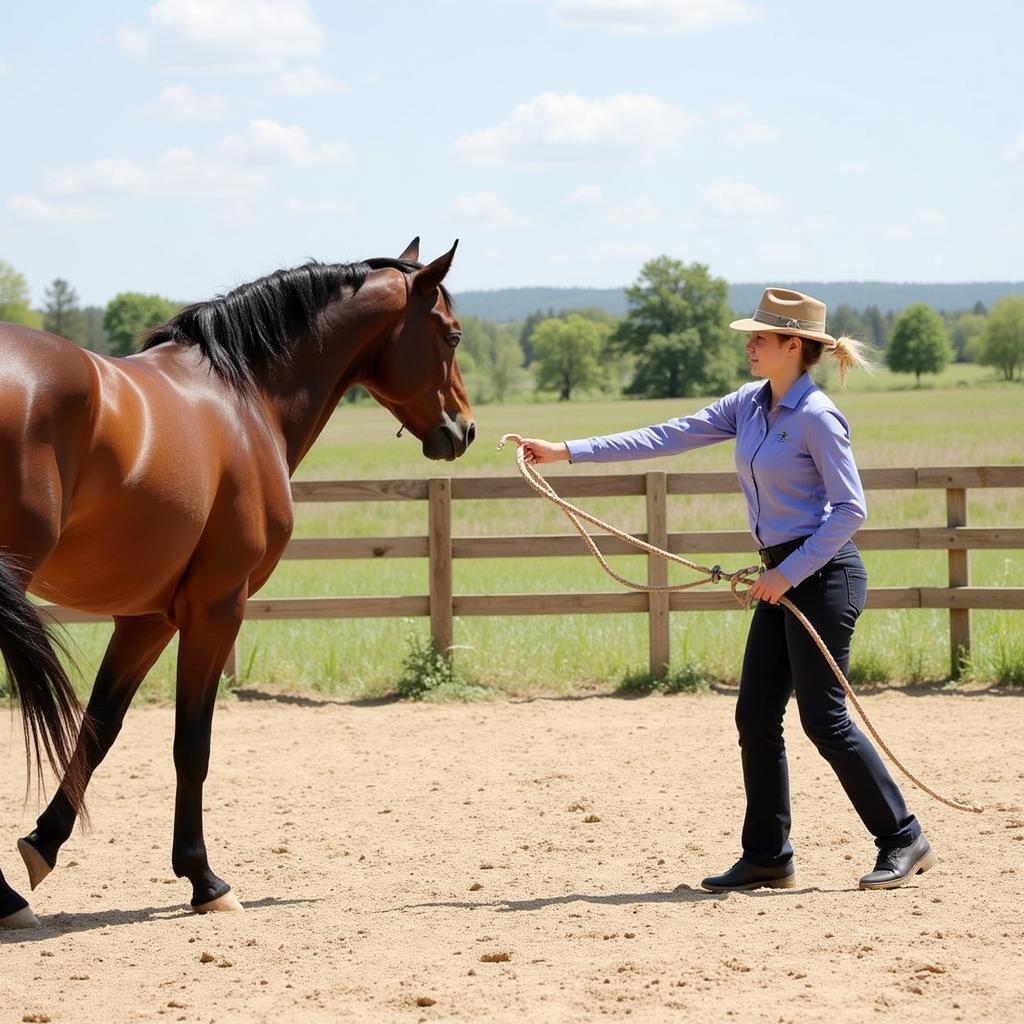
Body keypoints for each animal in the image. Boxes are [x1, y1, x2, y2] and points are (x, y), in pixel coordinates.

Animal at [0, 235, 475, 925]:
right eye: (451, 335)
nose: (463, 430)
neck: (245, 399)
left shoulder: (147, 619)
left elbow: (100, 729)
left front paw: (43, 843)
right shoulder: (217, 608)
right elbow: (191, 745)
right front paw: (204, 879)